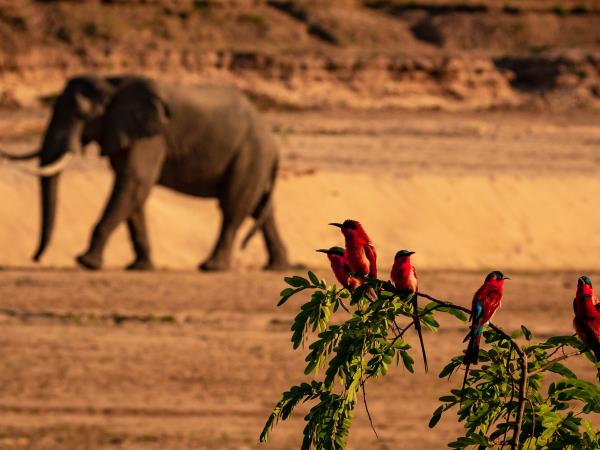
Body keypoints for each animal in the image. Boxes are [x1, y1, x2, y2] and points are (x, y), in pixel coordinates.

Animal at [0, 75, 290, 270]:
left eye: (81, 113)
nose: (36, 258)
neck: (112, 83)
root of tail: (274, 143)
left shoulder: (151, 135)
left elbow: (133, 183)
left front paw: (85, 262)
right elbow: (133, 193)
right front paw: (139, 267)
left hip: (250, 154)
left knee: (233, 207)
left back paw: (211, 267)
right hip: (254, 159)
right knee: (260, 208)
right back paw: (278, 267)